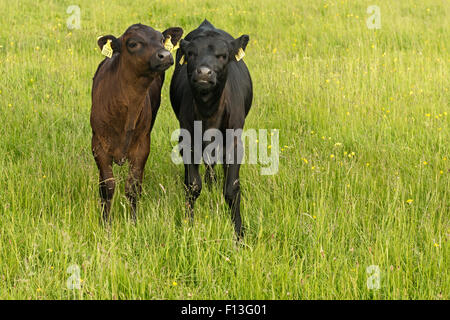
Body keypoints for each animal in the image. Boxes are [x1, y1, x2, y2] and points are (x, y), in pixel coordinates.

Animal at [90, 23, 182, 222]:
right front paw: (105, 222)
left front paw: (133, 222)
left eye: (161, 39)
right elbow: (107, 187)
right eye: (133, 43)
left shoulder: (142, 146)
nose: (165, 55)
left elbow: (133, 187)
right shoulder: (98, 145)